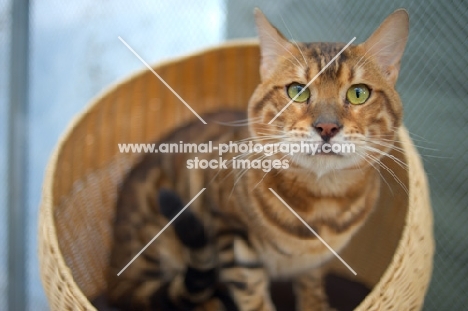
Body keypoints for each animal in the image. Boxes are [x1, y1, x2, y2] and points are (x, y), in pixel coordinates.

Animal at [107, 8, 410, 310]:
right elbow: (252, 294)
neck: (321, 203)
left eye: (358, 93)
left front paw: (316, 304)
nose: (327, 127)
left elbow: (311, 284)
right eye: (298, 90)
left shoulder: (317, 260)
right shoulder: (230, 234)